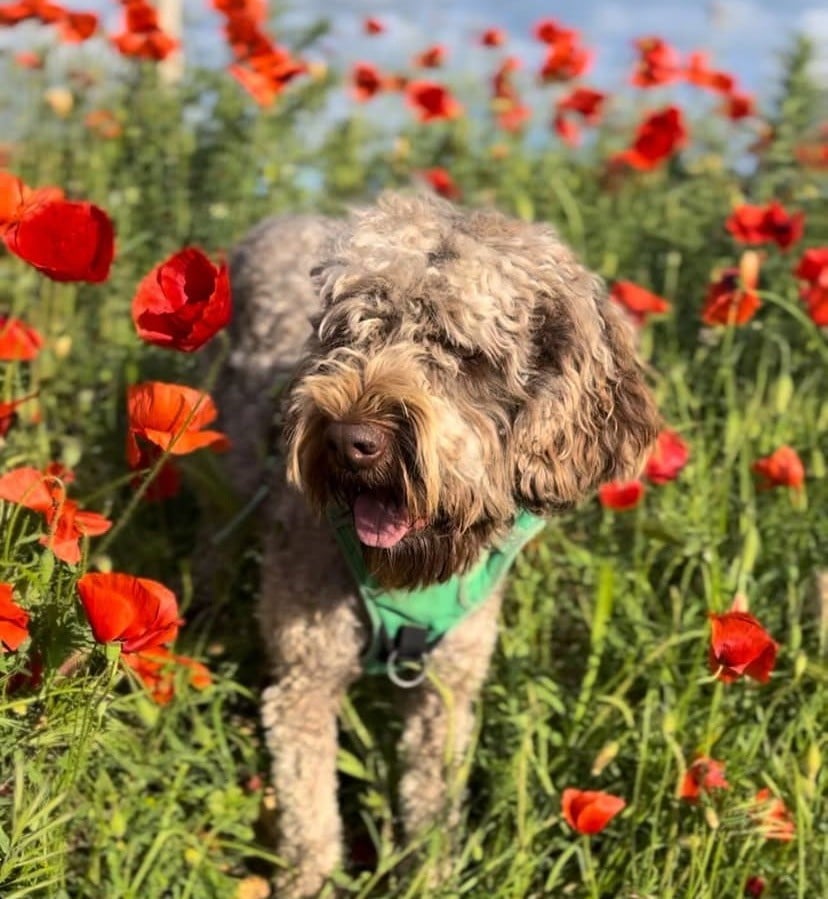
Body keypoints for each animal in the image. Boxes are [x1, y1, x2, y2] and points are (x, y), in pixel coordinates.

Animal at [217, 193, 664, 896]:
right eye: (347, 333)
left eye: (462, 350)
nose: (349, 440)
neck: (409, 574)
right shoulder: (305, 684)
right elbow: (310, 820)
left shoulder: (447, 695)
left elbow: (432, 808)